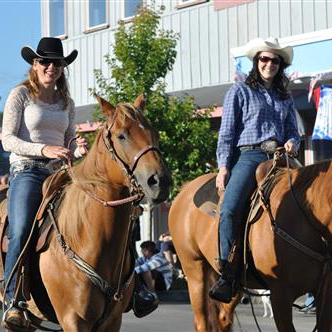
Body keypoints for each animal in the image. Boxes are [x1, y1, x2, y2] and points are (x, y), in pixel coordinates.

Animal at [0, 94, 171, 332]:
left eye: (154, 133)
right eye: (121, 136)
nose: (160, 181)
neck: (86, 236)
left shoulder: (112, 321)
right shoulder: (73, 320)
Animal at [170, 160, 332, 330]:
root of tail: (184, 189)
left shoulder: (325, 294)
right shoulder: (280, 294)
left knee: (223, 318)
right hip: (194, 272)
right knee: (202, 323)